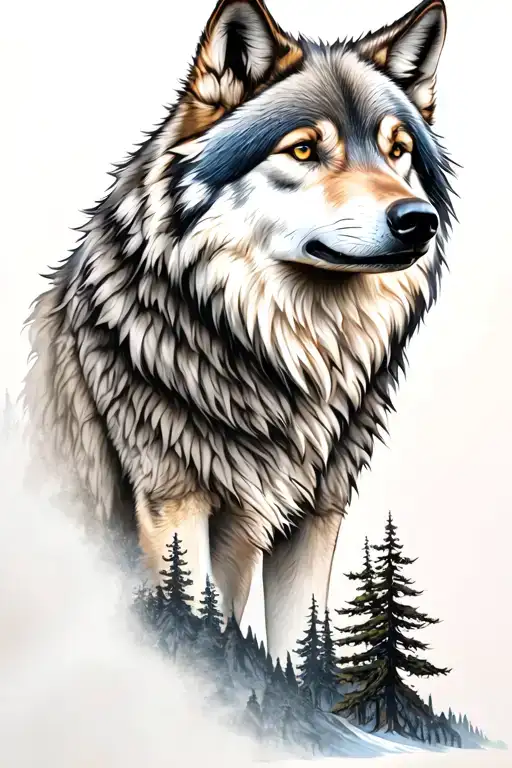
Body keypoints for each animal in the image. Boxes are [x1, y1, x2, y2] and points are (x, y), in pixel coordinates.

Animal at [24, 0, 455, 662]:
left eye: (397, 150)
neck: (289, 357)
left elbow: (301, 642)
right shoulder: (172, 502)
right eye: (303, 151)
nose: (418, 220)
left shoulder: (315, 517)